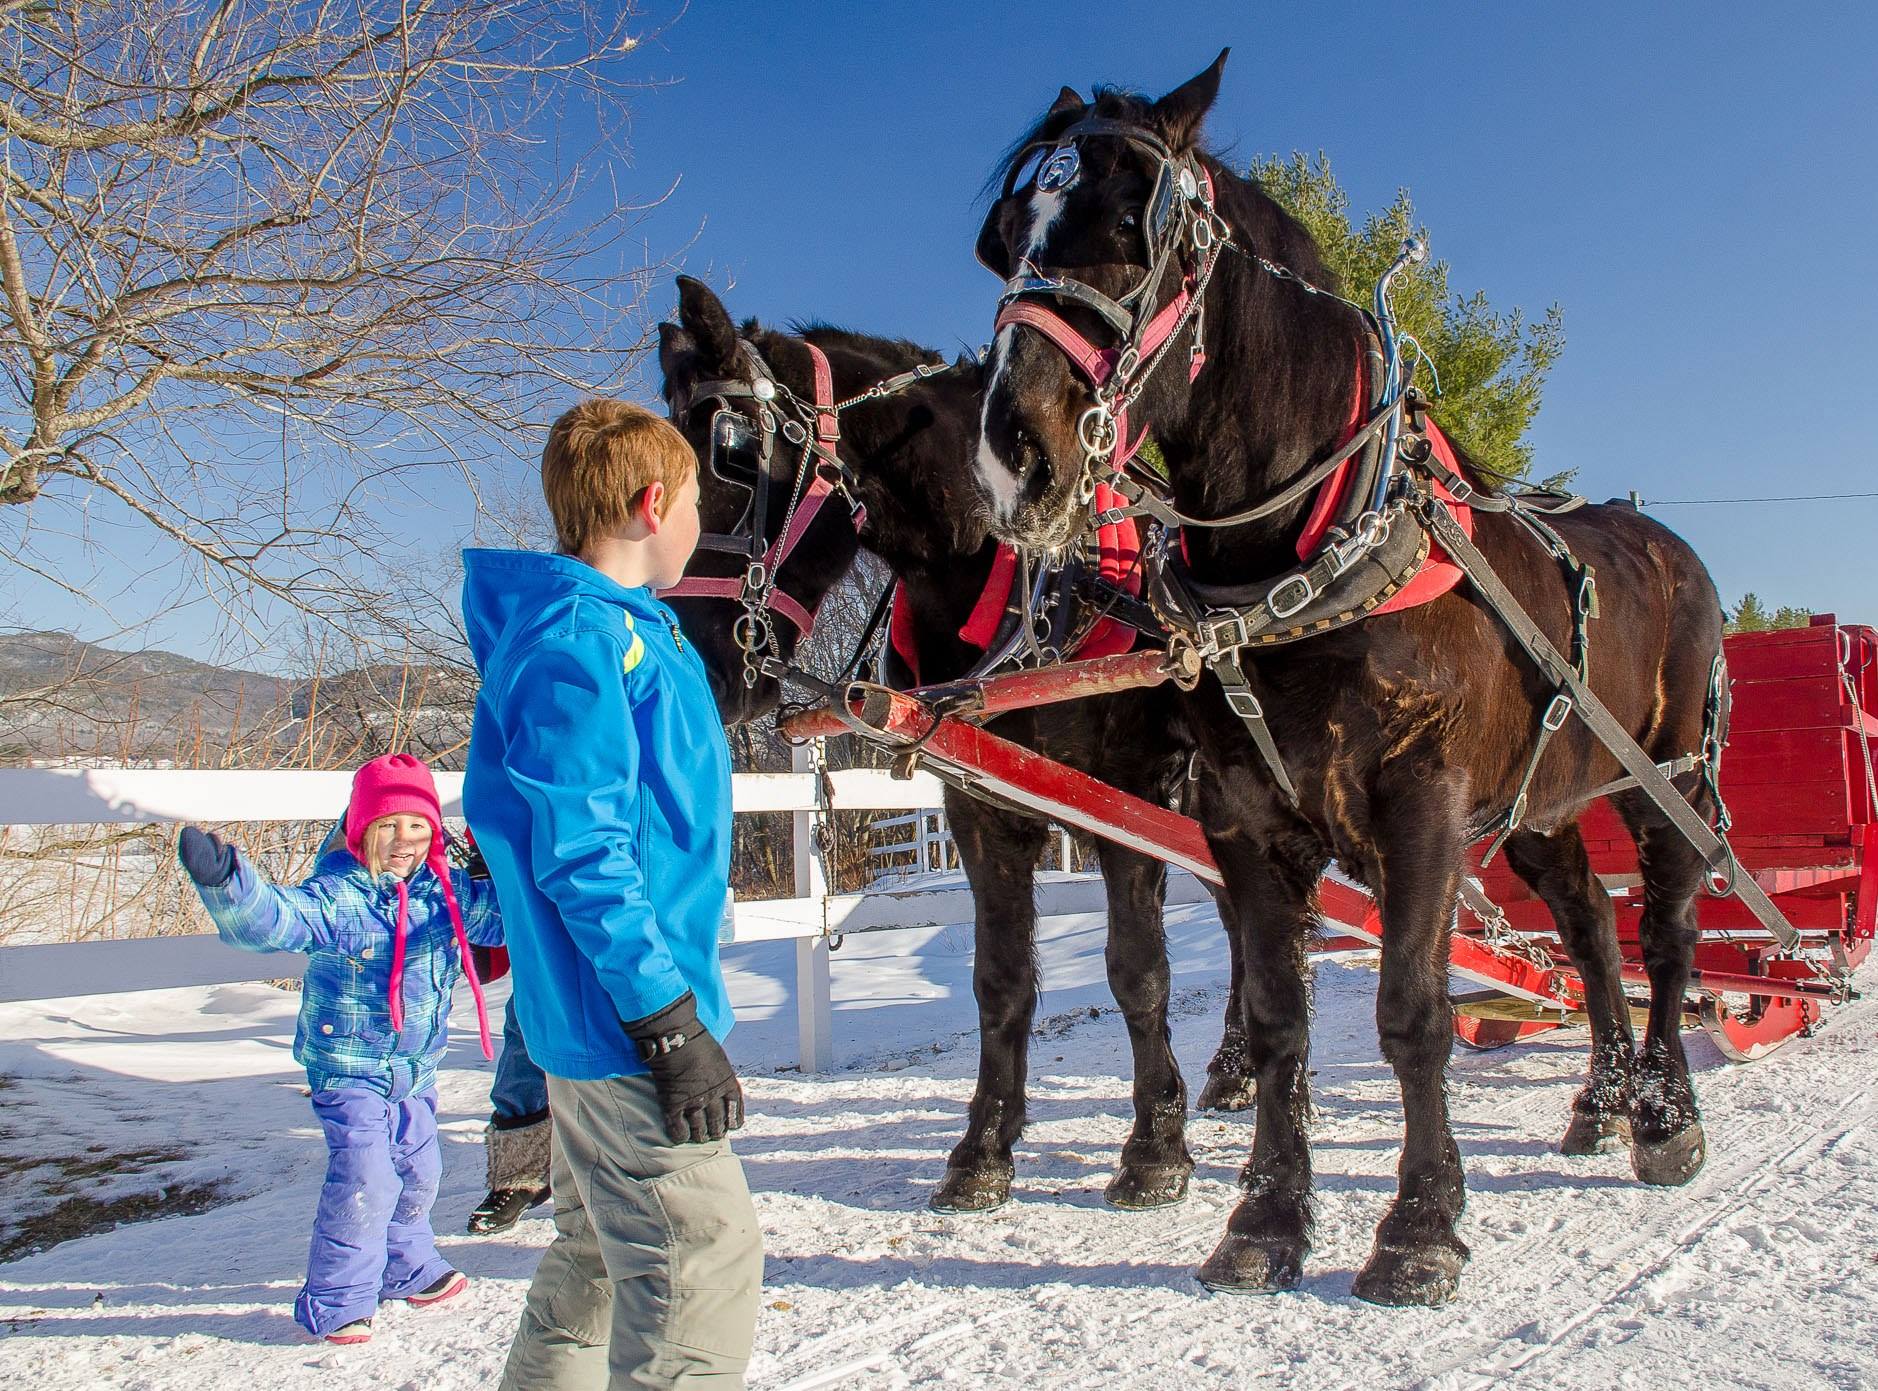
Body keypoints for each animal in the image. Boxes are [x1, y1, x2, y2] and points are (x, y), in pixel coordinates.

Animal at [656, 274, 1256, 1213]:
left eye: (730, 450)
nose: (705, 658)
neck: (1006, 573)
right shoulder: (980, 807)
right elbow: (998, 979)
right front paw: (983, 1149)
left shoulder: (1129, 791)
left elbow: (1137, 968)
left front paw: (1156, 1145)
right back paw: (1238, 1065)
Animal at [971, 53, 1726, 1305]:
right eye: (1004, 243)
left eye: (1138, 227)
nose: (1013, 454)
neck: (1309, 553)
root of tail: (1671, 545)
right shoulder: (1243, 817)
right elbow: (1281, 1018)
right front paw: (1266, 1219)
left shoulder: (1420, 806)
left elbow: (1413, 1012)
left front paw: (1419, 1225)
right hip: (1543, 804)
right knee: (1590, 927)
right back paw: (1603, 1096)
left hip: (1667, 779)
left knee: (1665, 932)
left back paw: (1664, 1114)